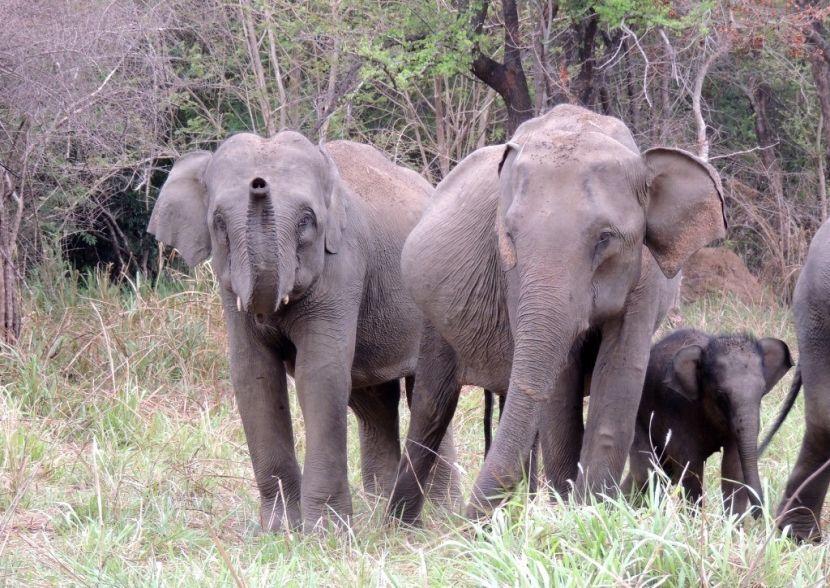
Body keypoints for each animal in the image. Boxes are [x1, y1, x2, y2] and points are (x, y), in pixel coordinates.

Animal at [150, 131, 462, 532]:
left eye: (306, 221)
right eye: (218, 222)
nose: (258, 183)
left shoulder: (342, 265)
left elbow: (320, 375)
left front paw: (325, 532)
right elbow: (254, 376)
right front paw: (280, 530)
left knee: (424, 389)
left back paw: (441, 511)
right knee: (372, 400)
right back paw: (380, 508)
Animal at [390, 105, 728, 524]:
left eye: (605, 238)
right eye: (509, 235)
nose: (469, 526)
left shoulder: (644, 275)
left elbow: (619, 374)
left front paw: (590, 513)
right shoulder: (514, 277)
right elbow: (560, 390)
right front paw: (574, 513)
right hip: (434, 320)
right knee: (432, 407)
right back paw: (399, 525)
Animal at [628, 328, 796, 516]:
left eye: (762, 391)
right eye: (721, 395)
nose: (759, 513)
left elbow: (733, 468)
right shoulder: (677, 412)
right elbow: (690, 469)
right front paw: (693, 519)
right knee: (647, 471)